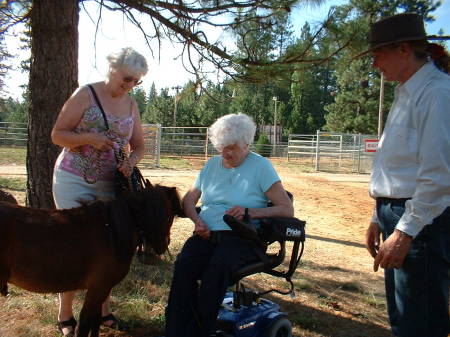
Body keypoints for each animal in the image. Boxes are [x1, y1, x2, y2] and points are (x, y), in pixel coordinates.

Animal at [0, 184, 183, 336]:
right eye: (169, 216)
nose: (160, 247)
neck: (111, 231)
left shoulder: (102, 289)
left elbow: (95, 322)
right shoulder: (97, 288)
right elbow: (86, 323)